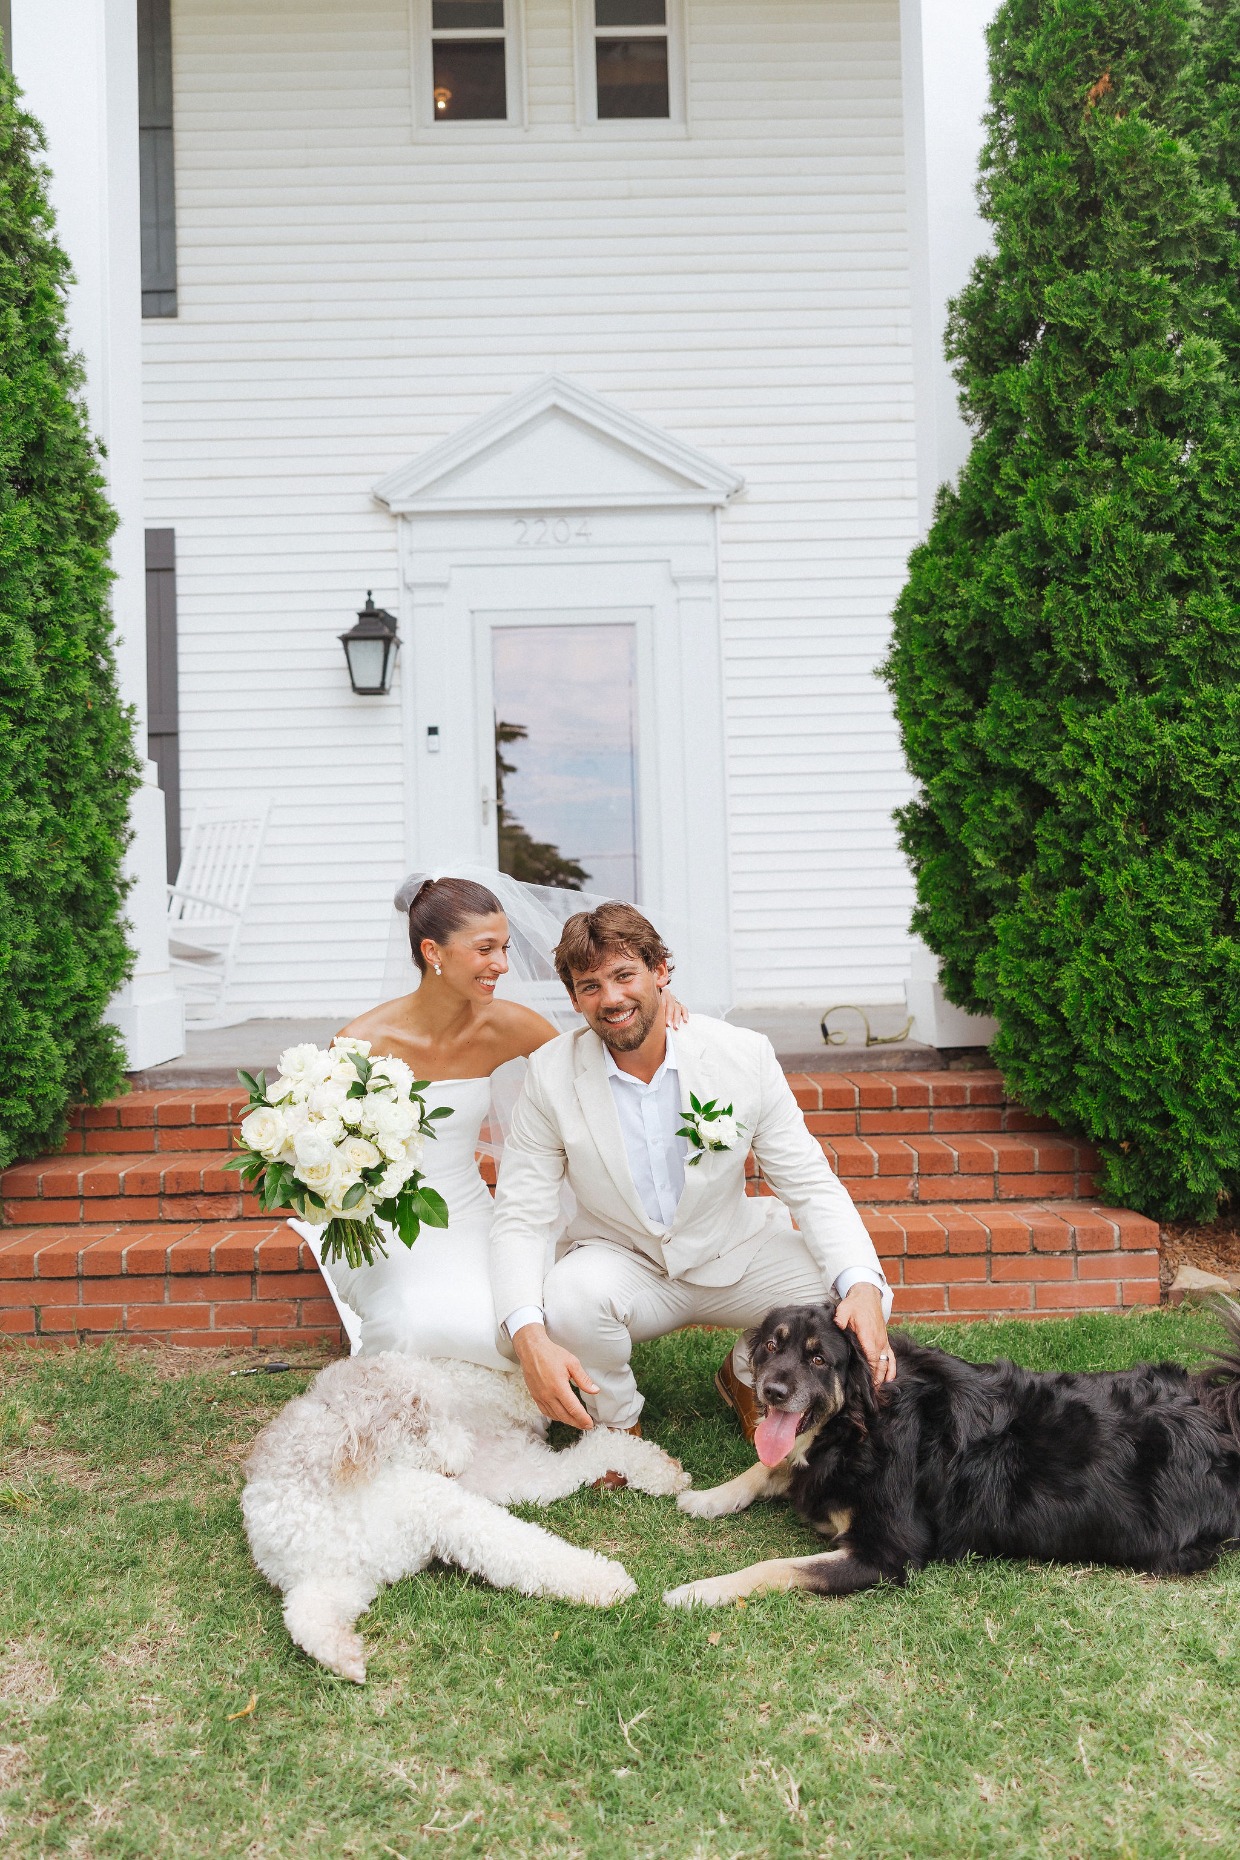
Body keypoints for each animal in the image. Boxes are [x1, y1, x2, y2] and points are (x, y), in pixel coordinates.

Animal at [241, 1354, 687, 1688]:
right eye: (423, 1425)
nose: (463, 1450)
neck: (330, 1492)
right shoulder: (331, 1581)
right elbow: (303, 1615)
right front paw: (344, 1658)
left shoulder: (443, 1510)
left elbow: (526, 1549)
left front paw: (607, 1583)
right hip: (517, 1475)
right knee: (593, 1449)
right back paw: (660, 1472)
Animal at [665, 1302, 1240, 1607]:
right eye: (771, 1346)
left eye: (818, 1359)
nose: (772, 1392)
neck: (861, 1427)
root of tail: (1218, 1419)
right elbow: (766, 1466)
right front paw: (710, 1497)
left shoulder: (887, 1554)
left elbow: (775, 1566)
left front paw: (699, 1590)